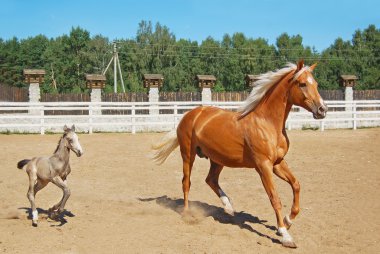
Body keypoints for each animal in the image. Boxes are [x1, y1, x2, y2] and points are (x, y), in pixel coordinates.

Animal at [151, 60, 326, 248]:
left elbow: (296, 185)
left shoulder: (278, 163)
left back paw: (229, 207)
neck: (267, 123)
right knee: (186, 182)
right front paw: (285, 235)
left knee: (210, 180)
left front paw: (288, 220)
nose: (322, 110)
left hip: (217, 159)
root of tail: (189, 115)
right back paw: (187, 213)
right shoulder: (263, 166)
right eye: (302, 84)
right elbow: (275, 198)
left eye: (316, 84)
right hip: (188, 155)